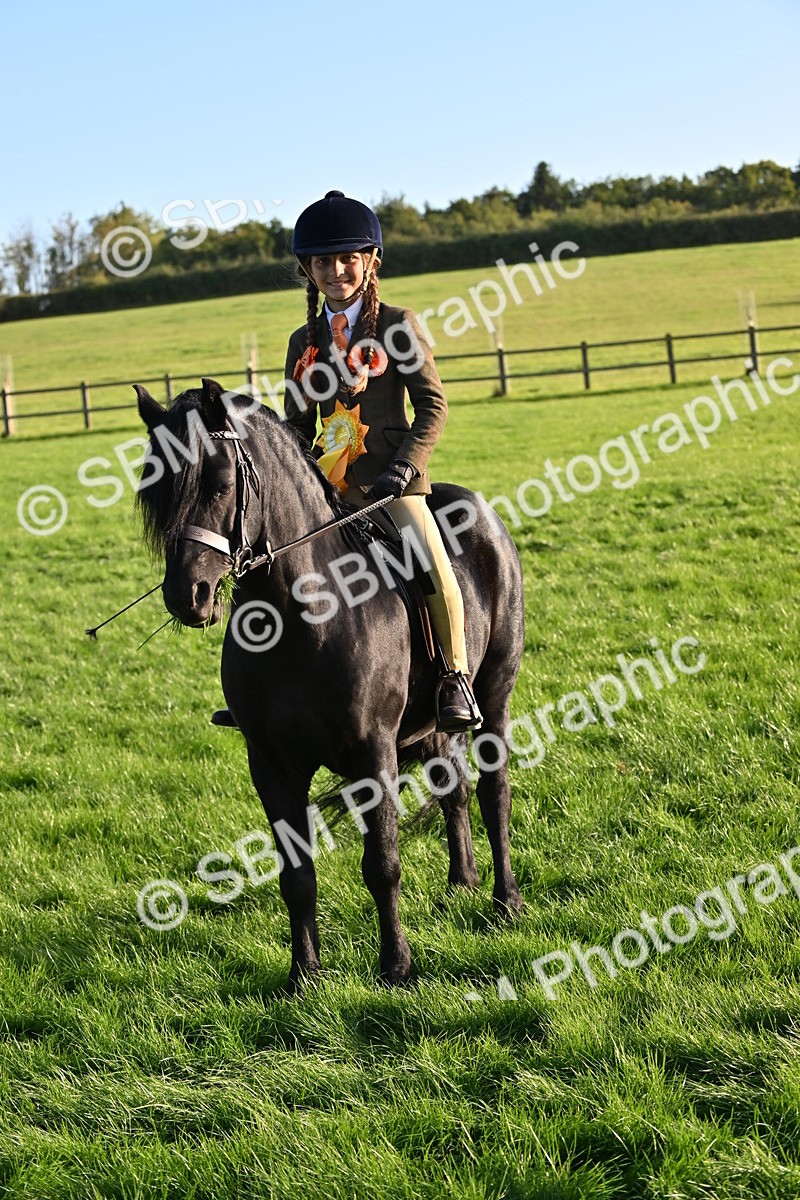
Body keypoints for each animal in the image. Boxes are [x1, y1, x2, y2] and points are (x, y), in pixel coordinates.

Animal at [134, 377, 524, 991]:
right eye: (157, 493)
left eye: (219, 483)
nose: (186, 596)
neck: (301, 614)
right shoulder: (271, 766)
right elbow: (296, 875)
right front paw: (304, 976)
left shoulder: (373, 753)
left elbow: (382, 863)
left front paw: (396, 967)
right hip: (435, 725)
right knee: (454, 788)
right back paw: (461, 882)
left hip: (495, 694)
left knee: (493, 790)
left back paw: (505, 901)